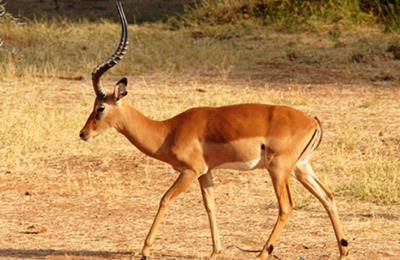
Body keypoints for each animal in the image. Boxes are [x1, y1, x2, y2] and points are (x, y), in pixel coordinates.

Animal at [79, 1, 346, 258]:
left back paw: (262, 254)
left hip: (279, 169)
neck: (169, 131)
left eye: (100, 107)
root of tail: (313, 121)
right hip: (301, 168)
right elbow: (210, 205)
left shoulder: (190, 170)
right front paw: (215, 251)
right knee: (328, 196)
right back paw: (343, 251)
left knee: (287, 206)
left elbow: (164, 199)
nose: (83, 133)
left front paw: (144, 250)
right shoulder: (205, 172)